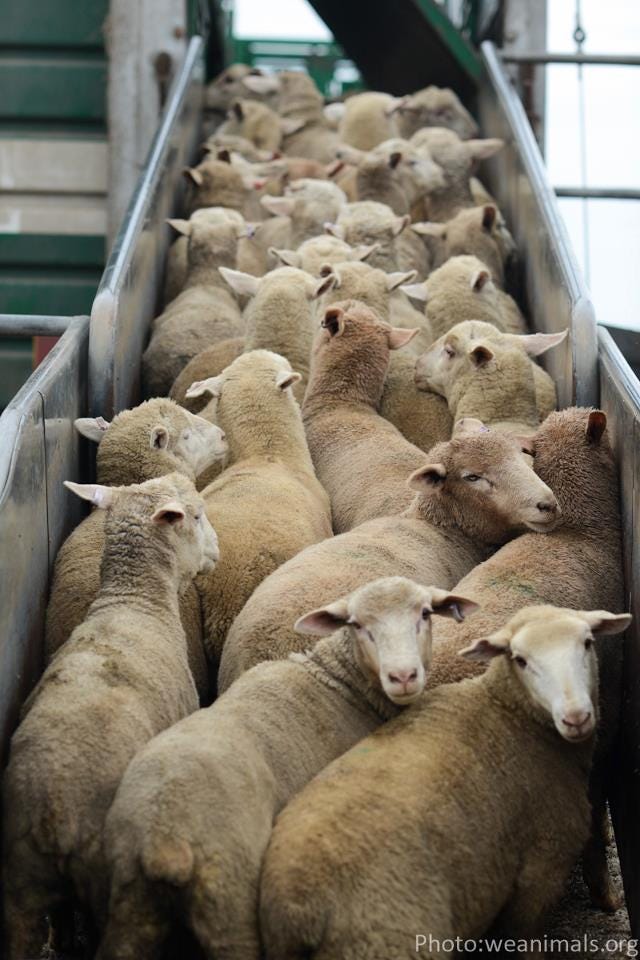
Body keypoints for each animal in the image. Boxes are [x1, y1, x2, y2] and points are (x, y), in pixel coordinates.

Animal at [2, 473, 220, 957]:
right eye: (197, 515)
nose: (218, 549)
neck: (134, 602)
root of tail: (53, 812)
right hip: (107, 882)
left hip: (20, 887)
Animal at [96, 577, 476, 960]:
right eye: (357, 625)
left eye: (425, 614)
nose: (403, 676)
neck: (340, 682)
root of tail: (162, 837)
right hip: (228, 902)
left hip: (130, 903)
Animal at [259, 604, 630, 960]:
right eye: (520, 660)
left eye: (587, 643)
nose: (576, 717)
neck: (511, 714)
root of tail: (299, 907)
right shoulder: (539, 871)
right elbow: (526, 942)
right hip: (393, 941)